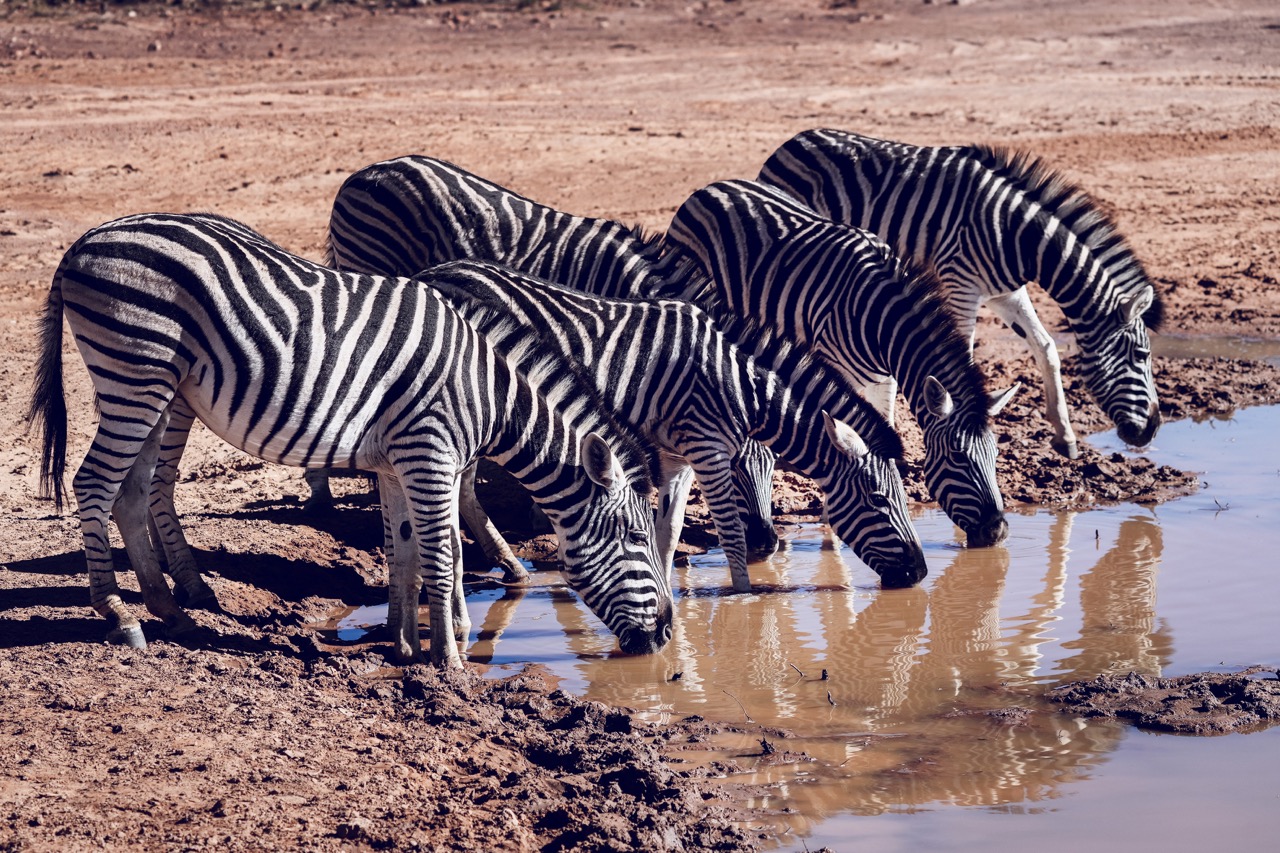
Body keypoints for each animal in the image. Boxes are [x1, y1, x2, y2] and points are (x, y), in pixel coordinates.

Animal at [26, 212, 672, 667]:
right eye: (638, 537)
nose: (668, 632)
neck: (487, 394)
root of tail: (86, 241)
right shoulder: (429, 453)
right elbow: (444, 555)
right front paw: (451, 661)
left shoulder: (397, 463)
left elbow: (405, 551)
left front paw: (405, 645)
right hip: (135, 372)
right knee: (94, 483)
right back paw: (119, 616)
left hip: (155, 386)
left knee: (132, 493)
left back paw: (170, 613)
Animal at [423, 267, 929, 591]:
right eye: (879, 499)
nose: (921, 574)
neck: (739, 384)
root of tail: (436, 270)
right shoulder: (707, 449)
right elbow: (730, 533)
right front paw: (744, 599)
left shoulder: (678, 456)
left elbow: (668, 534)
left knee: (463, 490)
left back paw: (511, 568)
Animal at [663, 179, 1019, 548]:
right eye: (957, 457)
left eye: (995, 456)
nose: (997, 532)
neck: (882, 318)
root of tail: (713, 186)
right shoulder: (838, 366)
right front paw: (831, 526)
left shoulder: (885, 378)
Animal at [759, 128, 1164, 459]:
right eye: (1141, 355)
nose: (1151, 431)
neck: (1018, 235)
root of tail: (791, 141)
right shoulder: (961, 286)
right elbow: (966, 353)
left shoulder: (1006, 292)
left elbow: (1046, 347)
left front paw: (1065, 437)